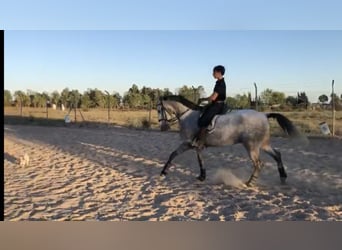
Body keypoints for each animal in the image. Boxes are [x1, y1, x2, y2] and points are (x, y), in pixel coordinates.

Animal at [156, 94, 304, 187]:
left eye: (159, 109)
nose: (163, 127)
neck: (187, 115)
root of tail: (264, 115)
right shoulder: (195, 145)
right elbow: (180, 156)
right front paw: (164, 172)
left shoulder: (189, 143)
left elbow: (177, 155)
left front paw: (163, 172)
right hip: (263, 144)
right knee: (277, 154)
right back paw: (283, 178)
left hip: (252, 146)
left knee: (258, 164)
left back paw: (249, 183)